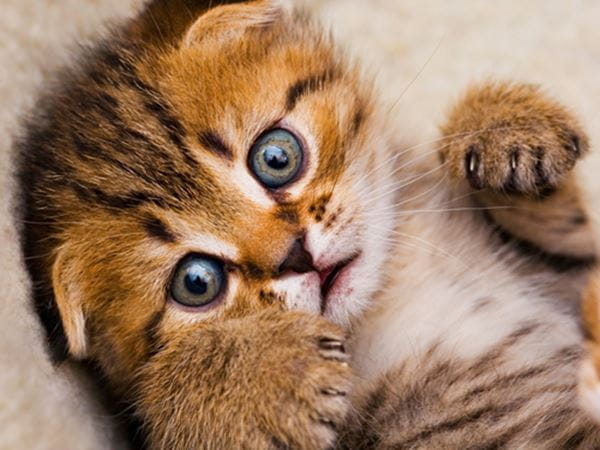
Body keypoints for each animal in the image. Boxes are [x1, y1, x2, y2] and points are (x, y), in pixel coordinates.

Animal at [17, 0, 600, 448]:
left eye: (276, 157)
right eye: (197, 282)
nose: (296, 254)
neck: (388, 285)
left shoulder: (570, 268)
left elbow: (571, 229)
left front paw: (506, 127)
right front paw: (256, 377)